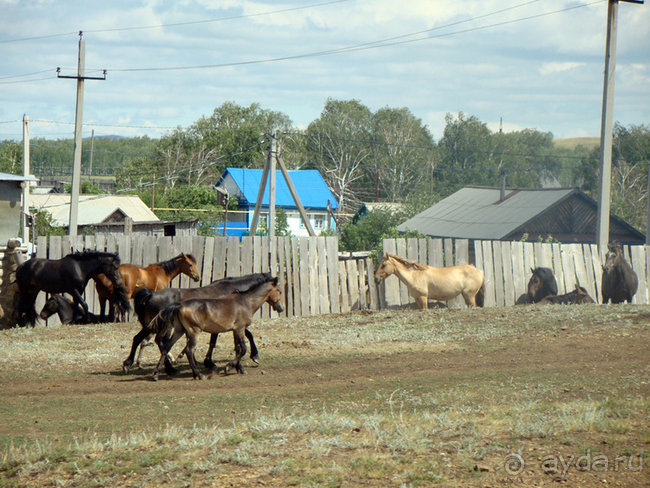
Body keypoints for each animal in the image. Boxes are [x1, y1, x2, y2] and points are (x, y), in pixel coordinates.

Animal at [123, 270, 272, 374]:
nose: (277, 306)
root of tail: (151, 295)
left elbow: (214, 342)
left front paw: (210, 362)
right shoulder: (233, 324)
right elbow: (247, 335)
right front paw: (254, 356)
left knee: (142, 339)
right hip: (162, 326)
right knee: (155, 341)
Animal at [152, 276, 284, 380]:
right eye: (279, 291)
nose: (281, 308)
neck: (246, 301)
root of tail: (179, 305)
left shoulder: (235, 330)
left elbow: (238, 348)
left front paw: (239, 368)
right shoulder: (240, 328)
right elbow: (243, 349)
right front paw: (229, 367)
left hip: (179, 331)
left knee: (167, 347)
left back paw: (156, 375)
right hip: (194, 332)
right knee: (189, 350)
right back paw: (199, 375)